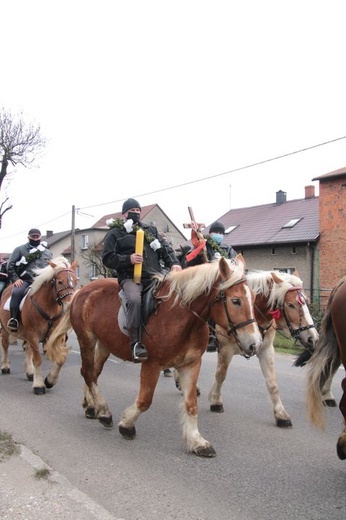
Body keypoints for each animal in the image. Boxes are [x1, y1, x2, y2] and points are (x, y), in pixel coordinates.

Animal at [0, 256, 77, 394]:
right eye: (60, 282)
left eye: (75, 281)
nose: (70, 306)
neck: (49, 305)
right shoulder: (33, 334)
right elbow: (37, 360)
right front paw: (39, 385)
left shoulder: (56, 336)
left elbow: (61, 358)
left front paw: (50, 380)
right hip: (5, 329)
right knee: (5, 345)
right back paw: (5, 366)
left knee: (28, 349)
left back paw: (30, 372)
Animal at [45, 255, 262, 456]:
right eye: (235, 300)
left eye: (253, 297)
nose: (255, 344)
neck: (182, 317)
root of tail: (81, 291)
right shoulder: (152, 364)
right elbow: (145, 400)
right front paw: (127, 425)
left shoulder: (191, 364)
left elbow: (191, 404)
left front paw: (197, 441)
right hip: (87, 340)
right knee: (88, 373)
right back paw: (103, 412)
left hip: (104, 344)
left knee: (92, 373)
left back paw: (92, 407)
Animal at [207, 270, 318, 424]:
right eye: (290, 305)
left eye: (307, 302)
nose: (313, 337)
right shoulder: (225, 350)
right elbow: (220, 375)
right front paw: (216, 401)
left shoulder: (266, 350)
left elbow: (272, 382)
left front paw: (281, 414)